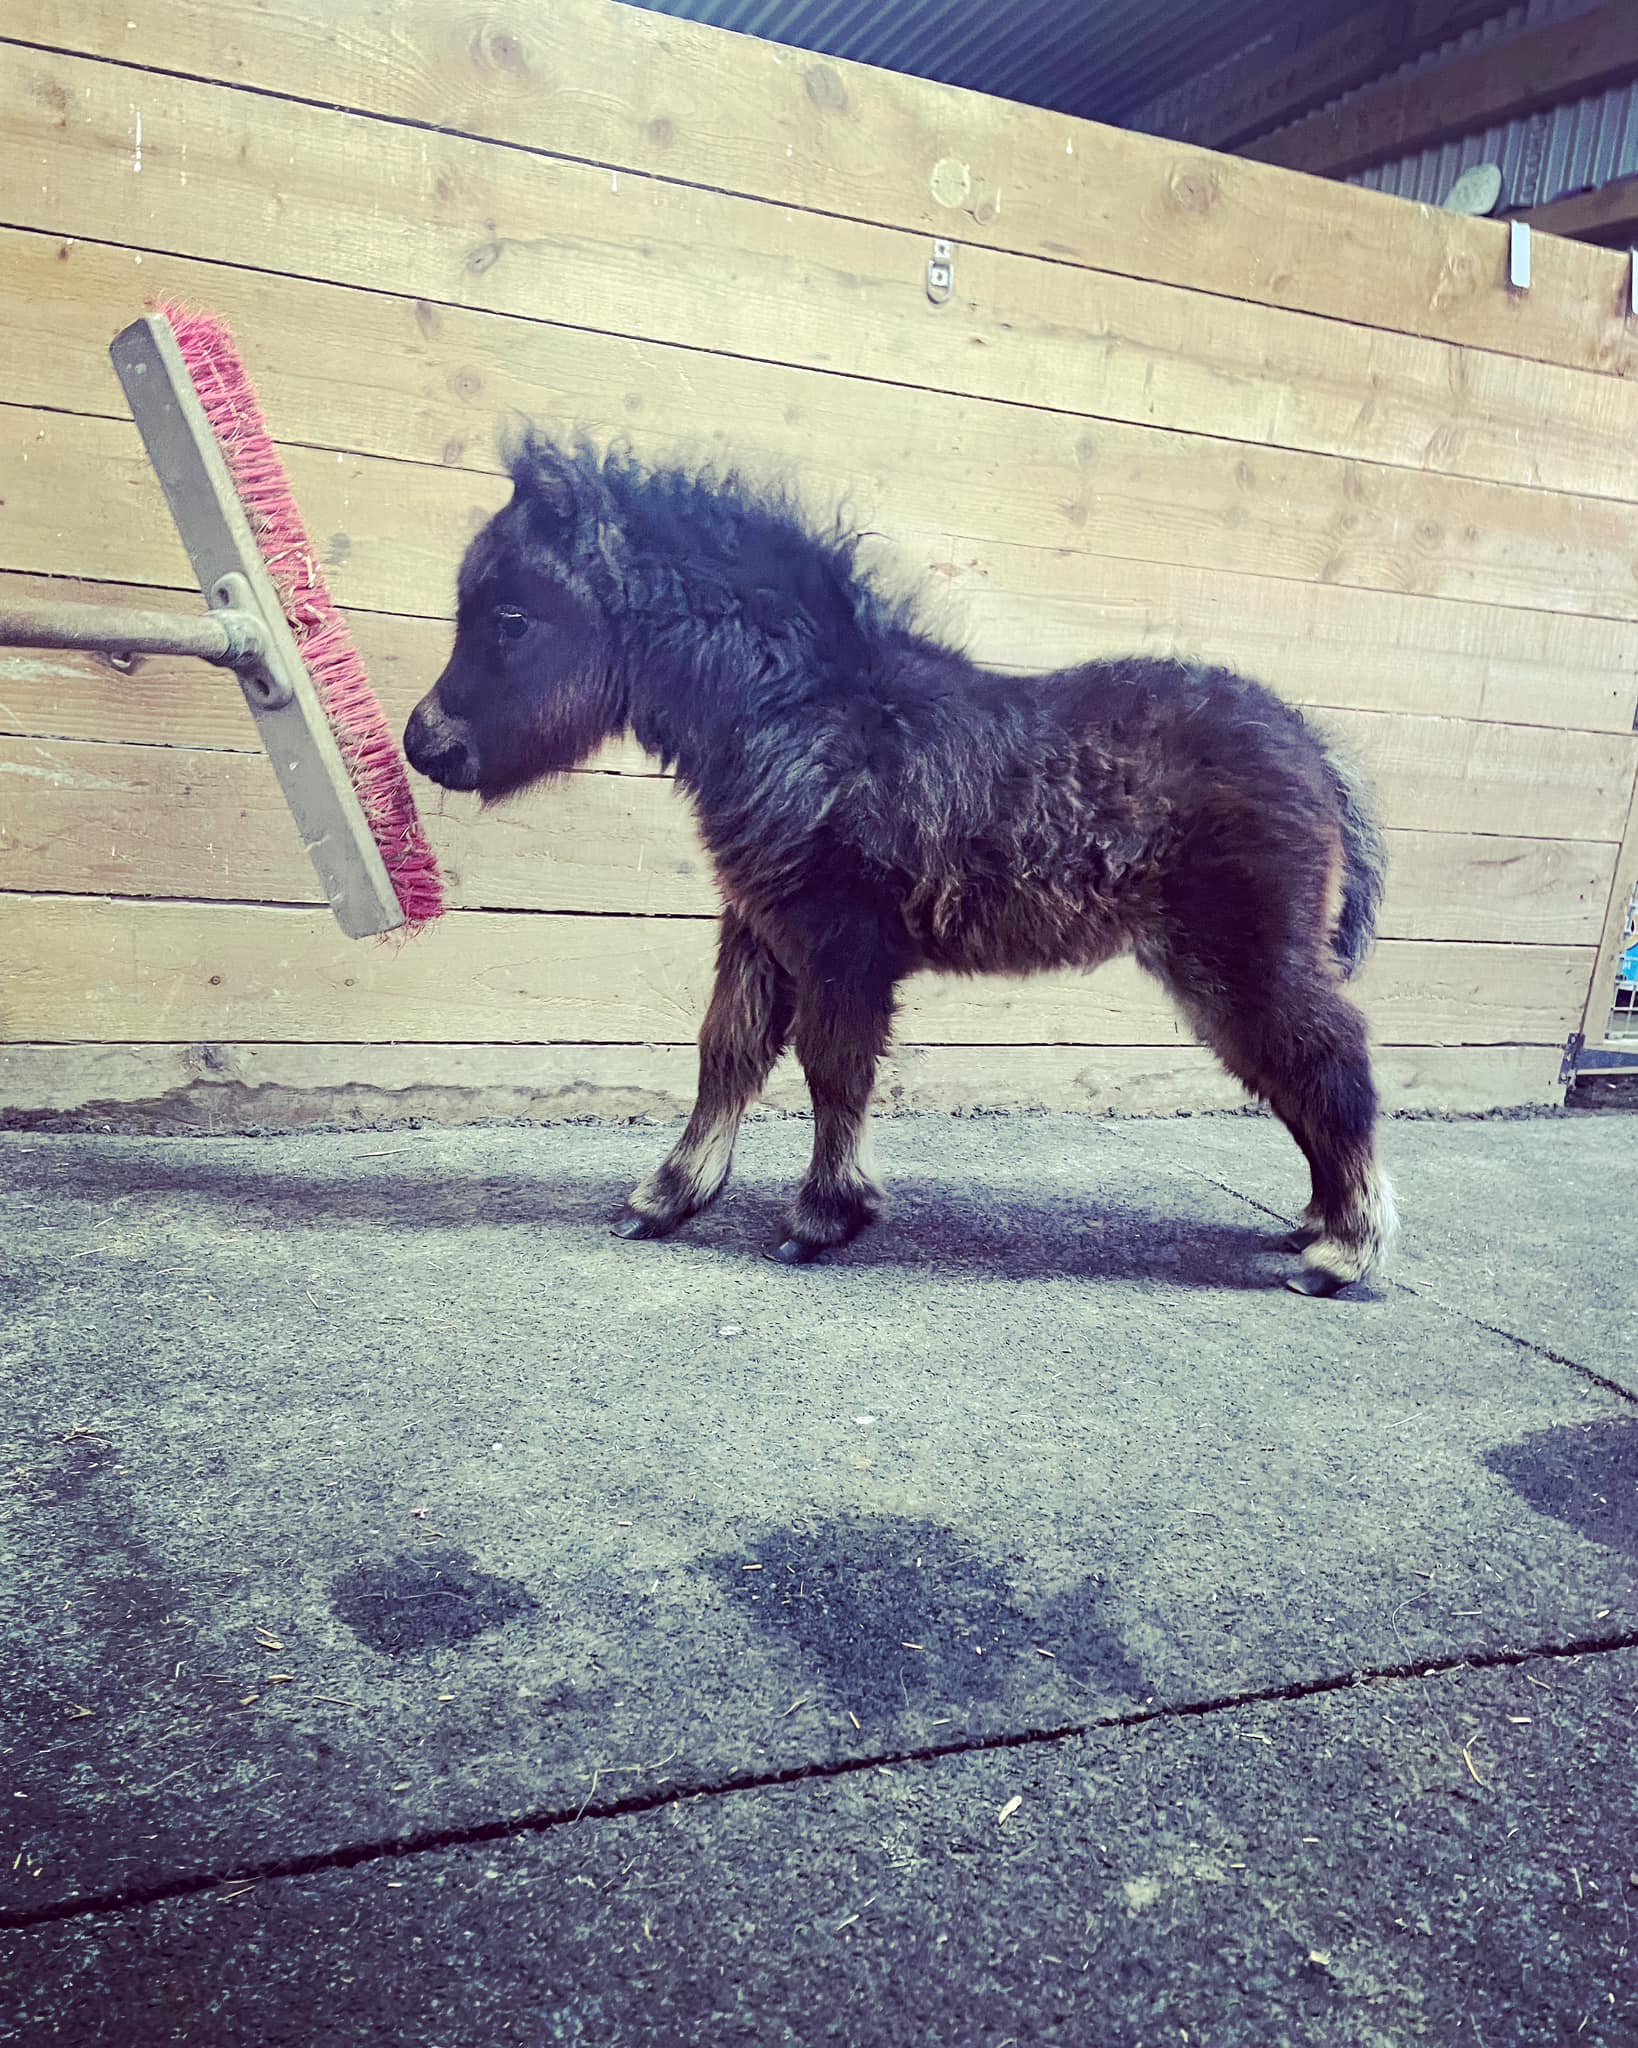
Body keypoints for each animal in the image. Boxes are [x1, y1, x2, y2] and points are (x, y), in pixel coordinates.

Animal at [404, 435, 1396, 1296]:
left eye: (511, 618)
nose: (425, 743)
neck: (806, 715)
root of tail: (1315, 749)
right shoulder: (761, 923)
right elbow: (728, 1050)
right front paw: (669, 1197)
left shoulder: (840, 938)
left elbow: (833, 1065)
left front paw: (822, 1218)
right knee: (1299, 1071)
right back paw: (1314, 1226)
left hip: (1243, 954)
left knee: (1326, 1058)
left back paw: (1344, 1252)